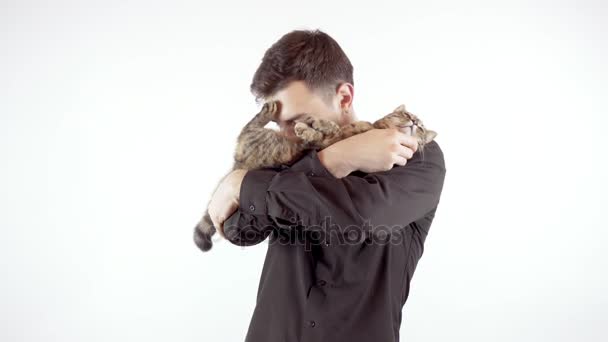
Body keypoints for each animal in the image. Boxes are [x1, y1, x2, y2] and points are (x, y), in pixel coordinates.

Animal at [194, 100, 436, 252]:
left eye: (422, 129)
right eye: (407, 115)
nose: (415, 122)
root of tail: (239, 164)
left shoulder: (333, 139)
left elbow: (329, 132)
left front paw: (307, 128)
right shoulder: (343, 131)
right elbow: (332, 126)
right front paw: (312, 122)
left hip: (268, 145)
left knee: (249, 128)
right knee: (249, 126)